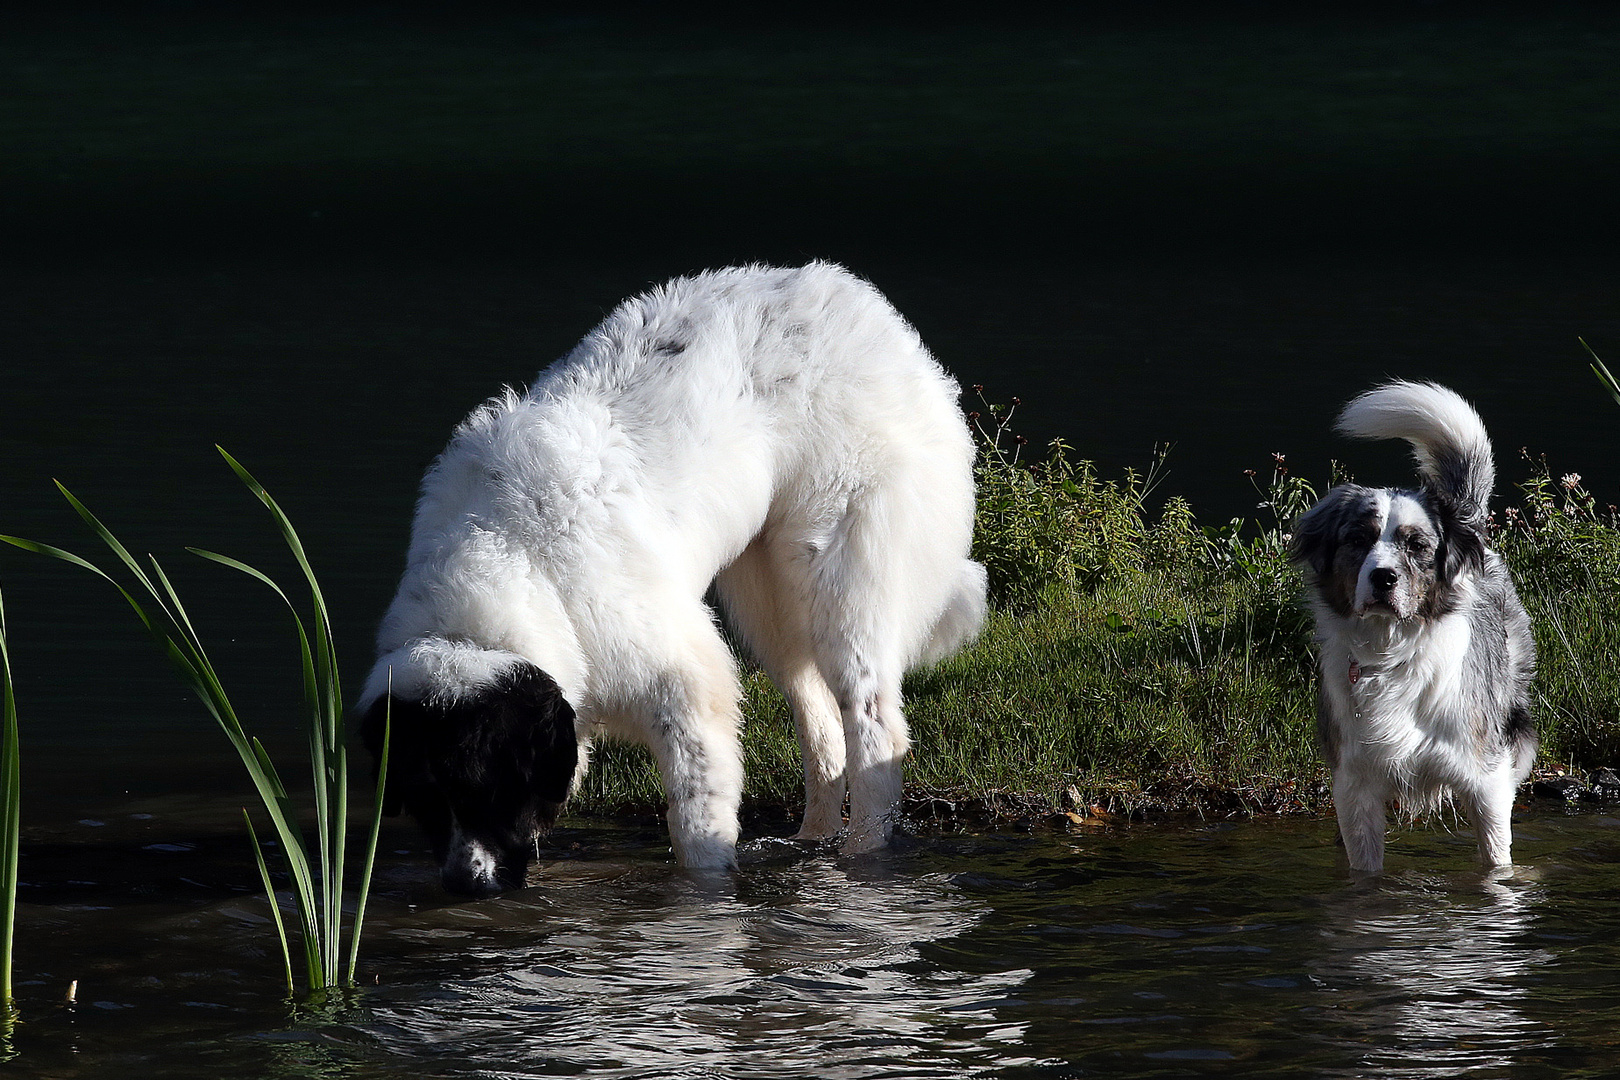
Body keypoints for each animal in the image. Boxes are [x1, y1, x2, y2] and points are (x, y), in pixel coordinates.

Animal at [356, 262, 984, 893]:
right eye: (426, 801)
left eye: (486, 788)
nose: (465, 884)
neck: (513, 562)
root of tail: (863, 303)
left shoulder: (682, 680)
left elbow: (696, 824)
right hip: (768, 598)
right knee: (819, 721)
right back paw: (815, 844)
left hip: (837, 580)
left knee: (874, 727)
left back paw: (863, 859)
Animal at [1289, 383, 1529, 874]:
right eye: (1357, 539)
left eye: (1417, 545)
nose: (1384, 578)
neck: (1391, 654)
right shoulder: (1354, 785)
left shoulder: (1486, 778)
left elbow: (1496, 857)